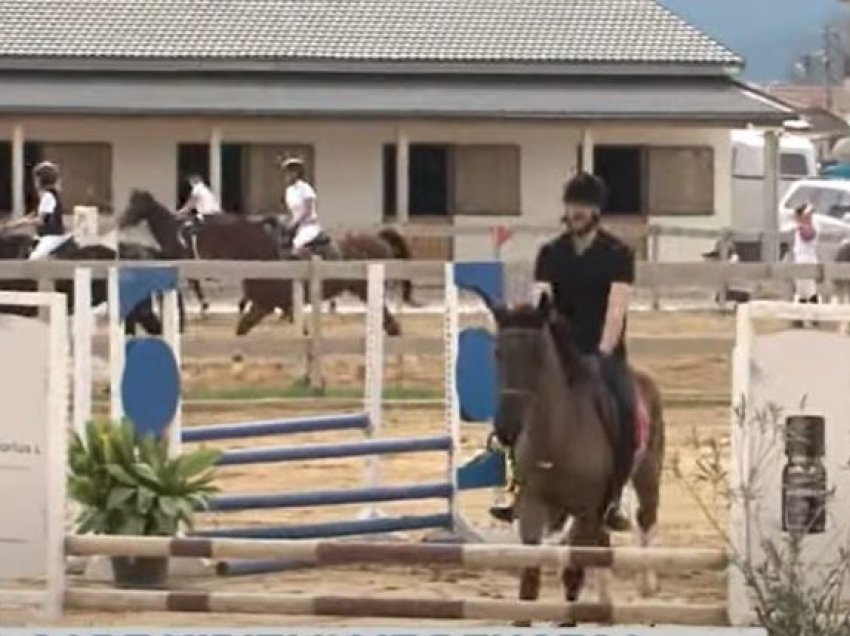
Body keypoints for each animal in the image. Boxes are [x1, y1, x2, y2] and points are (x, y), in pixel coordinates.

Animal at [121, 189, 420, 338]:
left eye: (135, 204)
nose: (121, 221)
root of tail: (377, 239)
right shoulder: (263, 305)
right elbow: (242, 328)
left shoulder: (268, 303)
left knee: (387, 318)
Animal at [486, 298, 664, 628]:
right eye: (498, 353)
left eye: (537, 356)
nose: (506, 429)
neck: (557, 435)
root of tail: (645, 379)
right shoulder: (534, 505)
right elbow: (530, 573)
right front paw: (522, 619)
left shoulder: (586, 509)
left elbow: (573, 571)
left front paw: (568, 620)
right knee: (603, 544)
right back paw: (605, 607)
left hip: (646, 476)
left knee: (646, 521)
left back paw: (647, 586)